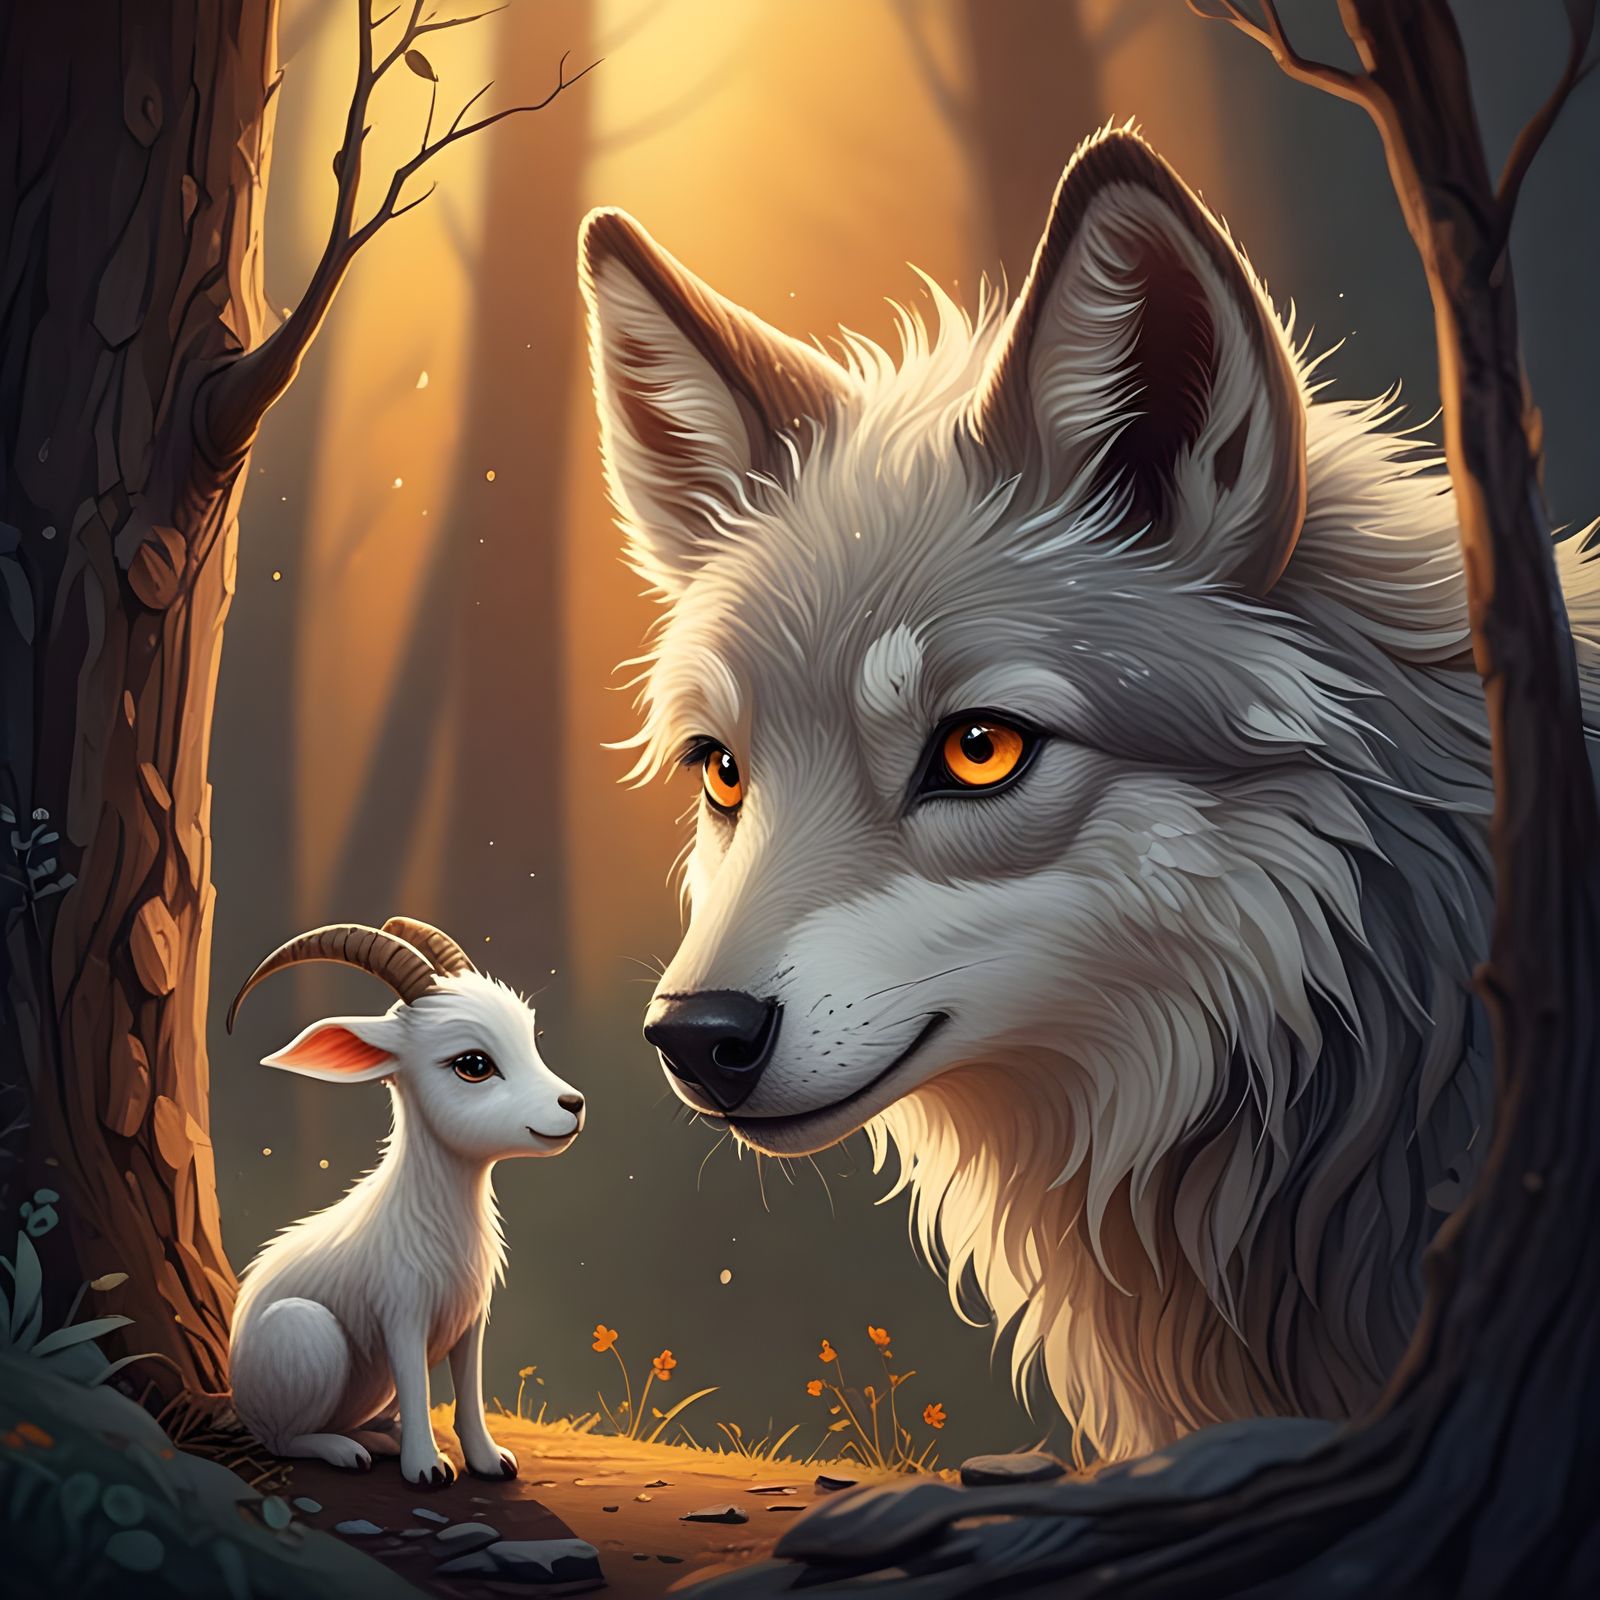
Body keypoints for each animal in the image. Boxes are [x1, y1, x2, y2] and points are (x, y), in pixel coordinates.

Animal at [225, 916, 584, 1486]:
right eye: (473, 1064)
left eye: (531, 1041)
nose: (573, 1105)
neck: (435, 1219)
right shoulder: (401, 1317)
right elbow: (418, 1386)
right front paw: (428, 1470)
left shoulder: (471, 1321)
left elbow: (469, 1390)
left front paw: (490, 1461)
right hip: (306, 1334)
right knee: (283, 1440)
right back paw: (347, 1451)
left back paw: (379, 1440)